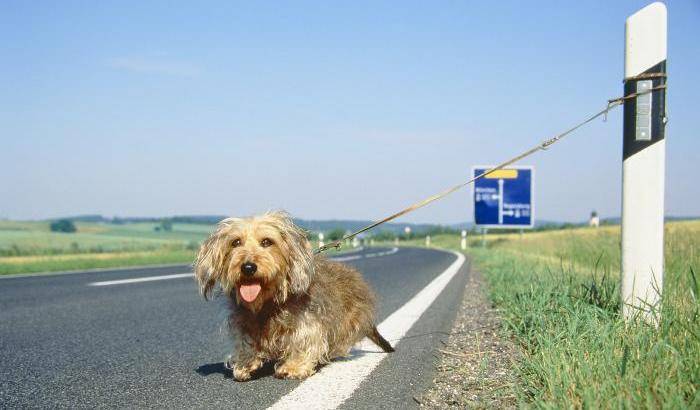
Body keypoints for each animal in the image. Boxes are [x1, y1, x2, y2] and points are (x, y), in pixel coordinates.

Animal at [194, 211, 394, 382]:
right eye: (235, 242)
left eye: (267, 242)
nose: (248, 267)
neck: (268, 302)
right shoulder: (244, 321)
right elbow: (245, 342)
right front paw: (245, 363)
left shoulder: (307, 321)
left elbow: (303, 341)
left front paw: (293, 367)